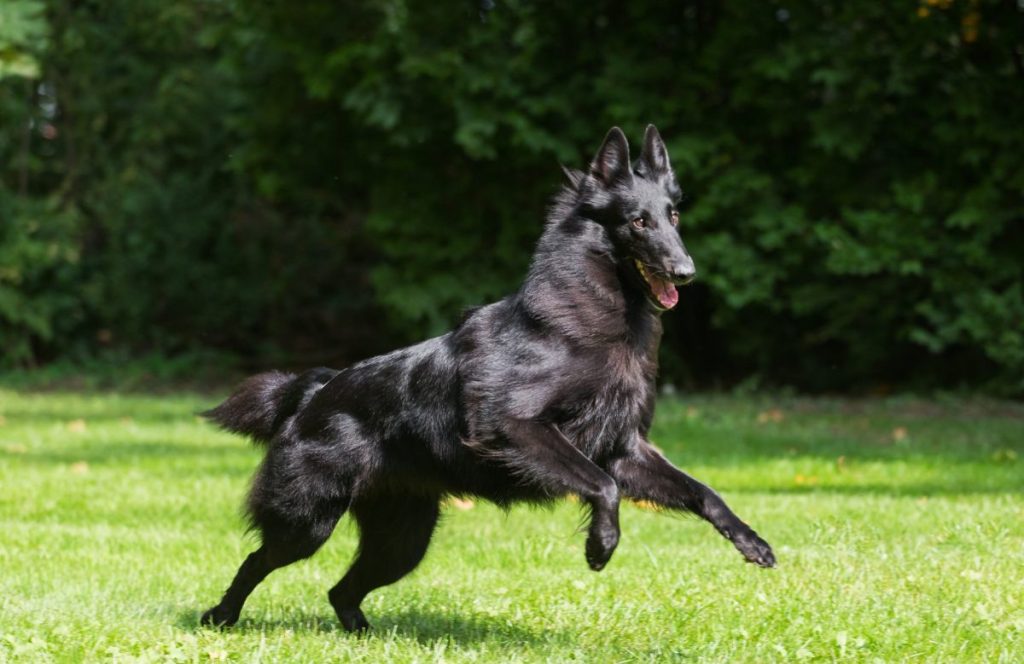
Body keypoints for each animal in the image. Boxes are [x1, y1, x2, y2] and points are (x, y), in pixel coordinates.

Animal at [201, 126, 774, 631]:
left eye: (672, 215)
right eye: (637, 221)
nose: (686, 271)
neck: (585, 327)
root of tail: (314, 394)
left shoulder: (623, 446)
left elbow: (702, 491)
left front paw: (750, 540)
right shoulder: (515, 427)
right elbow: (602, 485)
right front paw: (600, 546)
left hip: (402, 542)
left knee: (340, 589)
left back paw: (360, 632)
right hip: (309, 523)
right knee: (257, 561)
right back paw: (220, 617)